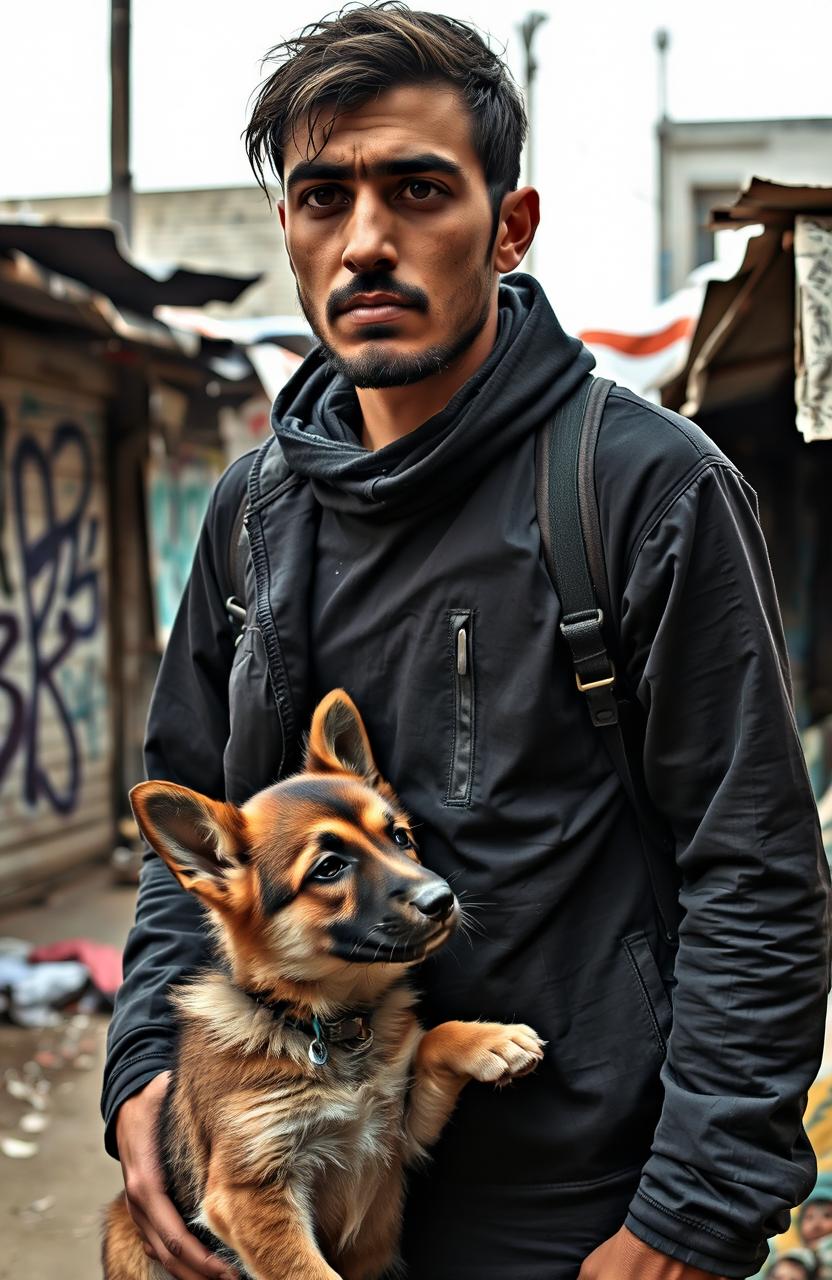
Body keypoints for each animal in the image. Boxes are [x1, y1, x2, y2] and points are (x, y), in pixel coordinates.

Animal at [101, 691, 545, 1280]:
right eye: (329, 868)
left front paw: (492, 1041)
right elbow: (310, 1272)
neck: (328, 1025)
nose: (444, 900)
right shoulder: (250, 1194)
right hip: (127, 1234)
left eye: (400, 838)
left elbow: (430, 1040)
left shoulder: (402, 1134)